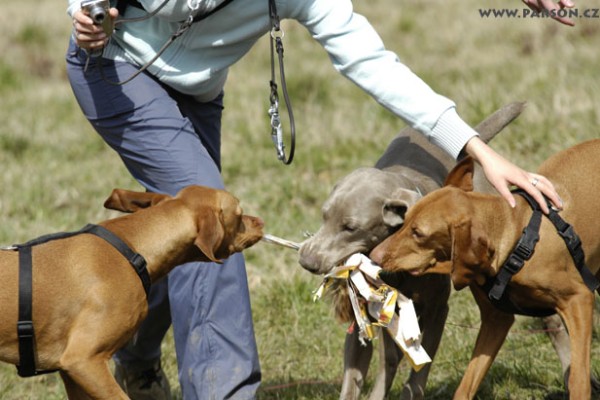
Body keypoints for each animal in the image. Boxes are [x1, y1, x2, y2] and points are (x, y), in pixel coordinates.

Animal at [370, 139, 600, 398]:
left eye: (418, 233)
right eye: (405, 219)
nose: (374, 255)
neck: (515, 237)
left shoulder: (579, 300)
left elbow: (579, 379)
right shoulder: (496, 320)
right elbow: (466, 385)